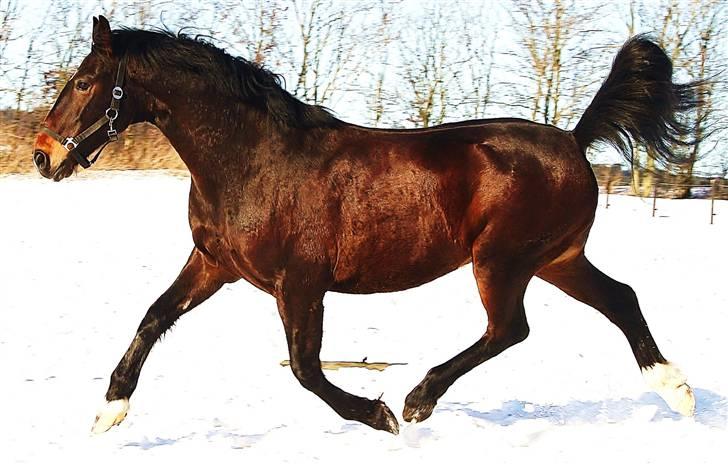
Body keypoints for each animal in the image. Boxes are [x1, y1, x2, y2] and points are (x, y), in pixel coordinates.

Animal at [32, 15, 700, 436]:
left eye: (85, 82)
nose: (43, 156)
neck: (253, 158)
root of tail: (574, 141)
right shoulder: (214, 264)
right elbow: (153, 318)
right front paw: (108, 413)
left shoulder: (300, 284)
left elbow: (305, 368)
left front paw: (380, 417)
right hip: (557, 259)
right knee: (620, 298)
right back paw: (678, 391)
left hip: (502, 260)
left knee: (510, 328)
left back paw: (418, 400)